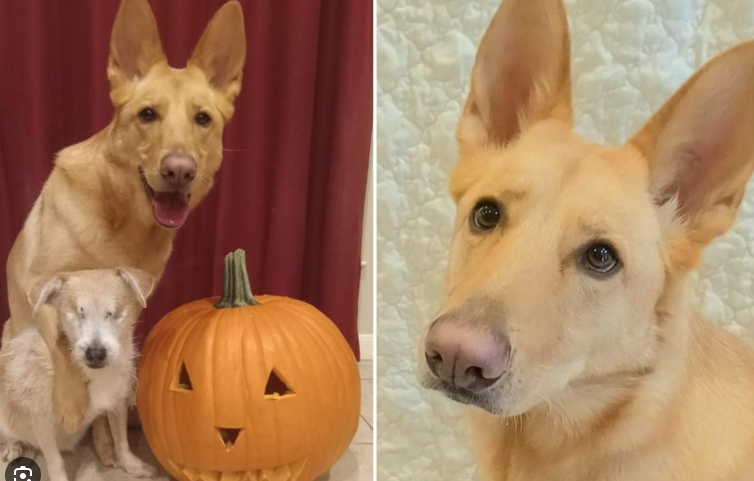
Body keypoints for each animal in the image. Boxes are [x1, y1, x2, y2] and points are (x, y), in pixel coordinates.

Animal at [0, 266, 157, 480]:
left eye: (114, 313)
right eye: (77, 313)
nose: (95, 353)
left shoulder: (117, 404)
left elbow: (122, 442)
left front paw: (133, 465)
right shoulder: (42, 420)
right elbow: (55, 462)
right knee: (9, 429)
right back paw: (12, 447)